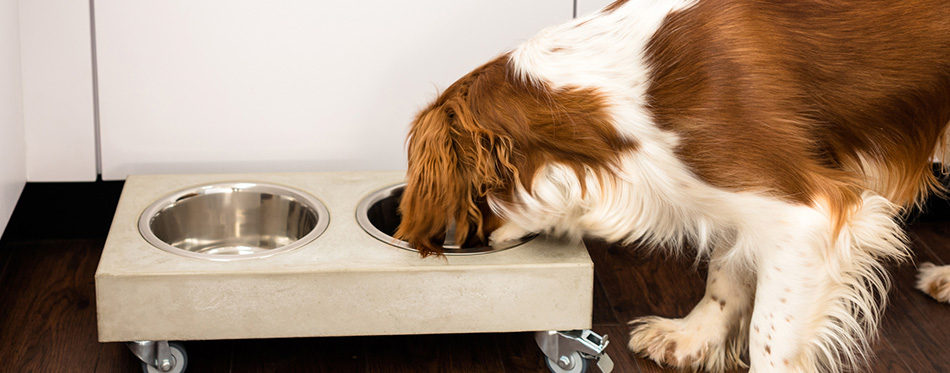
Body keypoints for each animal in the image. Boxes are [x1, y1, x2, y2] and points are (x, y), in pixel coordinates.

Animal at [394, 1, 950, 370]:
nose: (462, 245)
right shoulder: (741, 197)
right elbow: (726, 271)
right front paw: (693, 337)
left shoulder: (805, 213)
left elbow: (770, 333)